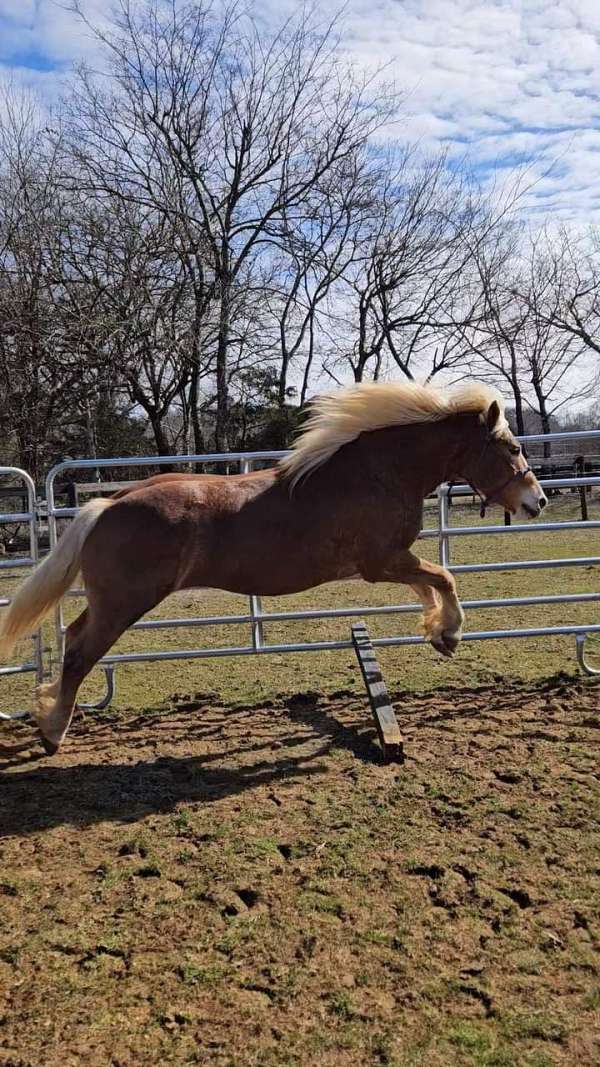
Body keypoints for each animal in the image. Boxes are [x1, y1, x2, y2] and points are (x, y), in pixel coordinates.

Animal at [0, 379, 544, 755]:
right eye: (513, 448)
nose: (535, 501)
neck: (377, 473)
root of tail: (108, 504)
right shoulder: (381, 562)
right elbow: (443, 578)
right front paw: (450, 633)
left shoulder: (392, 562)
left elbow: (429, 585)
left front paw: (438, 634)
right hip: (123, 604)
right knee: (80, 653)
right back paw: (53, 733)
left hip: (110, 601)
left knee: (74, 637)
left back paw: (49, 716)